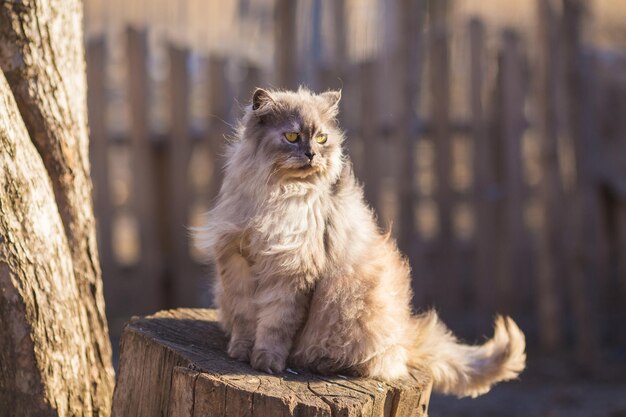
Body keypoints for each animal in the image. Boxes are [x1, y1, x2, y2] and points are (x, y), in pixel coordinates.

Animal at [194, 87, 520, 396]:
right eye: (292, 136)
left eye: (322, 138)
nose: (312, 154)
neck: (276, 194)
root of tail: (405, 333)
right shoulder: (237, 260)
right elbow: (244, 319)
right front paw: (239, 353)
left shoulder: (291, 271)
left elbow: (275, 325)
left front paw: (266, 362)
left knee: (377, 361)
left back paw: (321, 364)